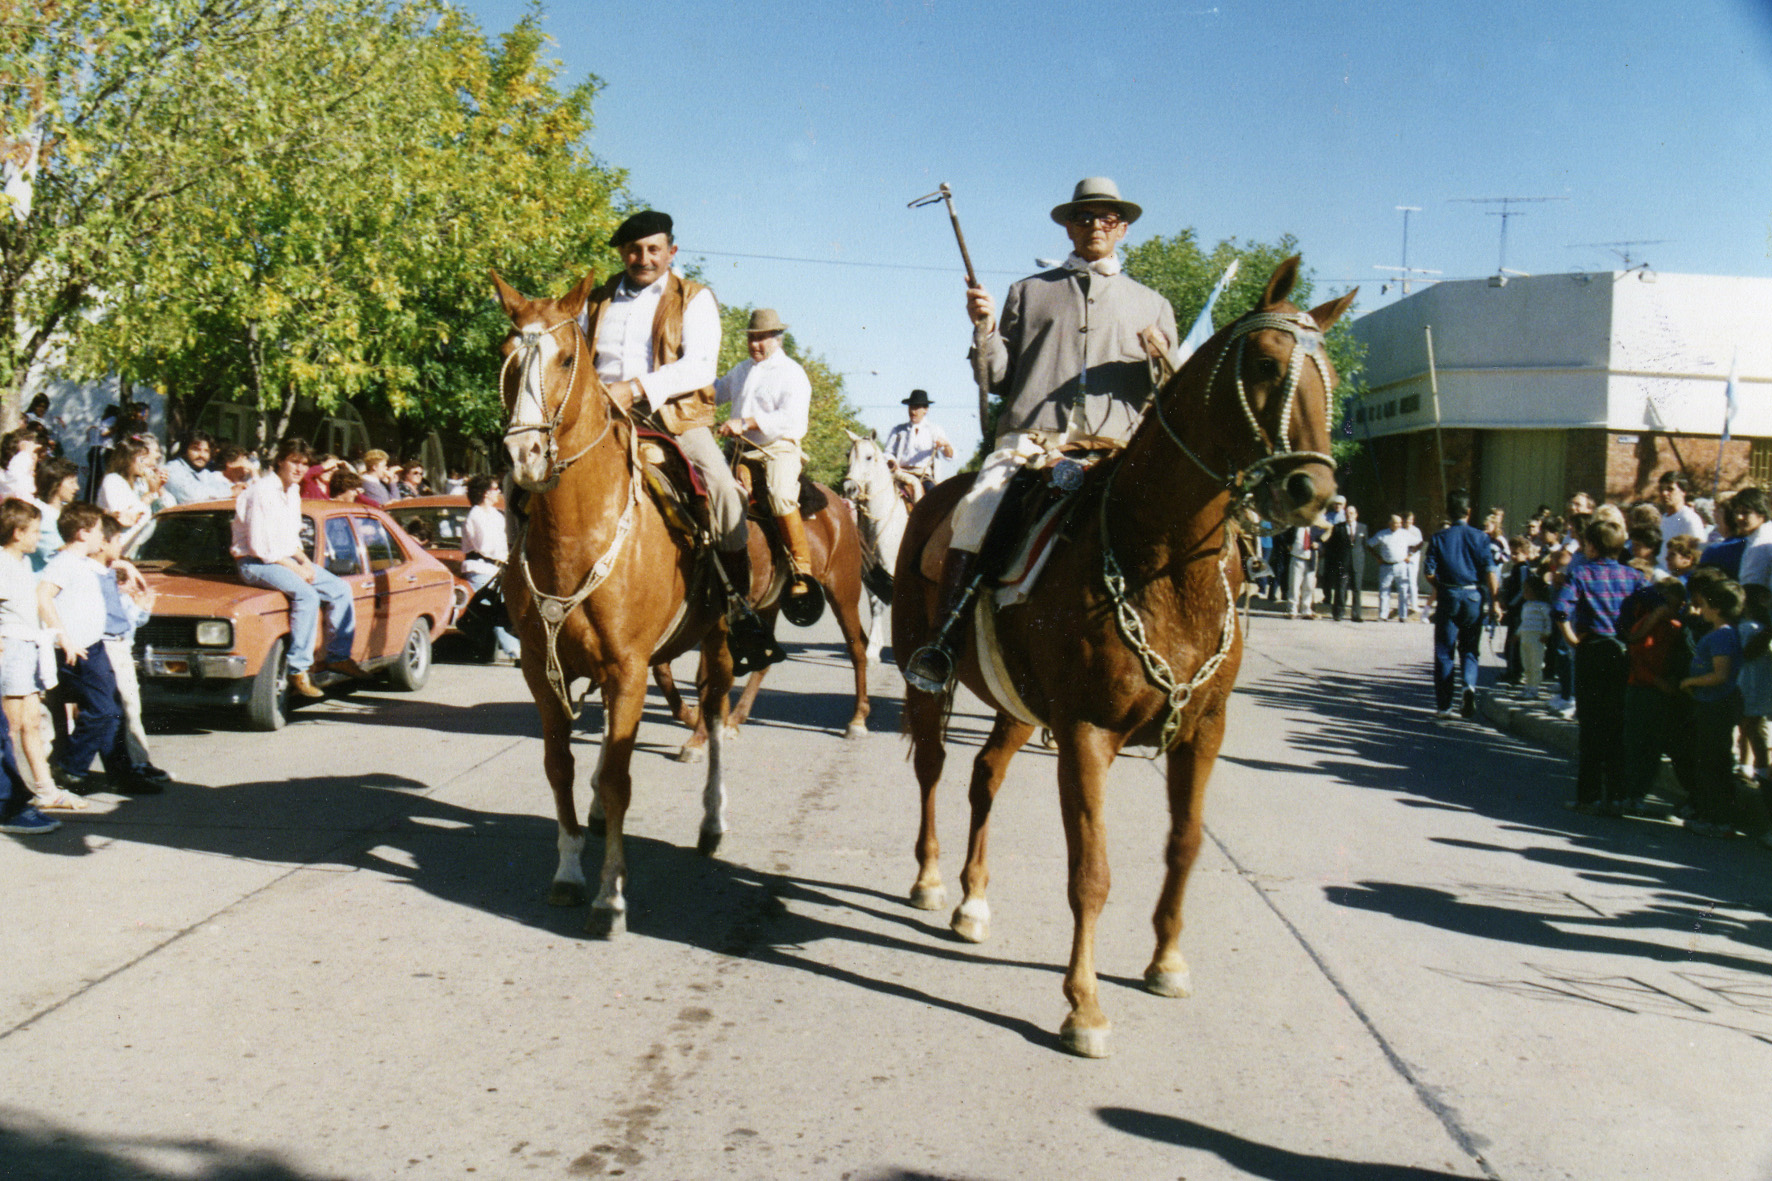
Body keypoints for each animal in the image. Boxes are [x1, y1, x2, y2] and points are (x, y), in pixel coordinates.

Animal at [492, 271, 733, 936]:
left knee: (715, 717)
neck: (579, 532)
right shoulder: (541, 669)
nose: (523, 456)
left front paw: (611, 895)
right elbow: (561, 766)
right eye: (506, 356)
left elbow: (623, 776)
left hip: (718, 640)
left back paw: (712, 821)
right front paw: (570, 871)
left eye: (565, 358)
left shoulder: (629, 668)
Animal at [652, 482, 871, 758]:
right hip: (771, 604)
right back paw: (734, 719)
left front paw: (698, 738)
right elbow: (665, 671)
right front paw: (695, 718)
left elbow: (707, 677)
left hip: (844, 593)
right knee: (765, 662)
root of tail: (839, 505)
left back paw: (857, 720)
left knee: (857, 649)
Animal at [900, 255, 1353, 1049]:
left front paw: (1166, 961)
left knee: (984, 776)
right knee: (932, 766)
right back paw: (928, 880)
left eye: (1329, 373)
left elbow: (1185, 844)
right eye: (1267, 363)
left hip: (1018, 705)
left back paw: (972, 901)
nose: (1313, 491)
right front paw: (1083, 1004)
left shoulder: (1204, 733)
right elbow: (1091, 869)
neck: (1164, 565)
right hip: (925, 679)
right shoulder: (1087, 733)